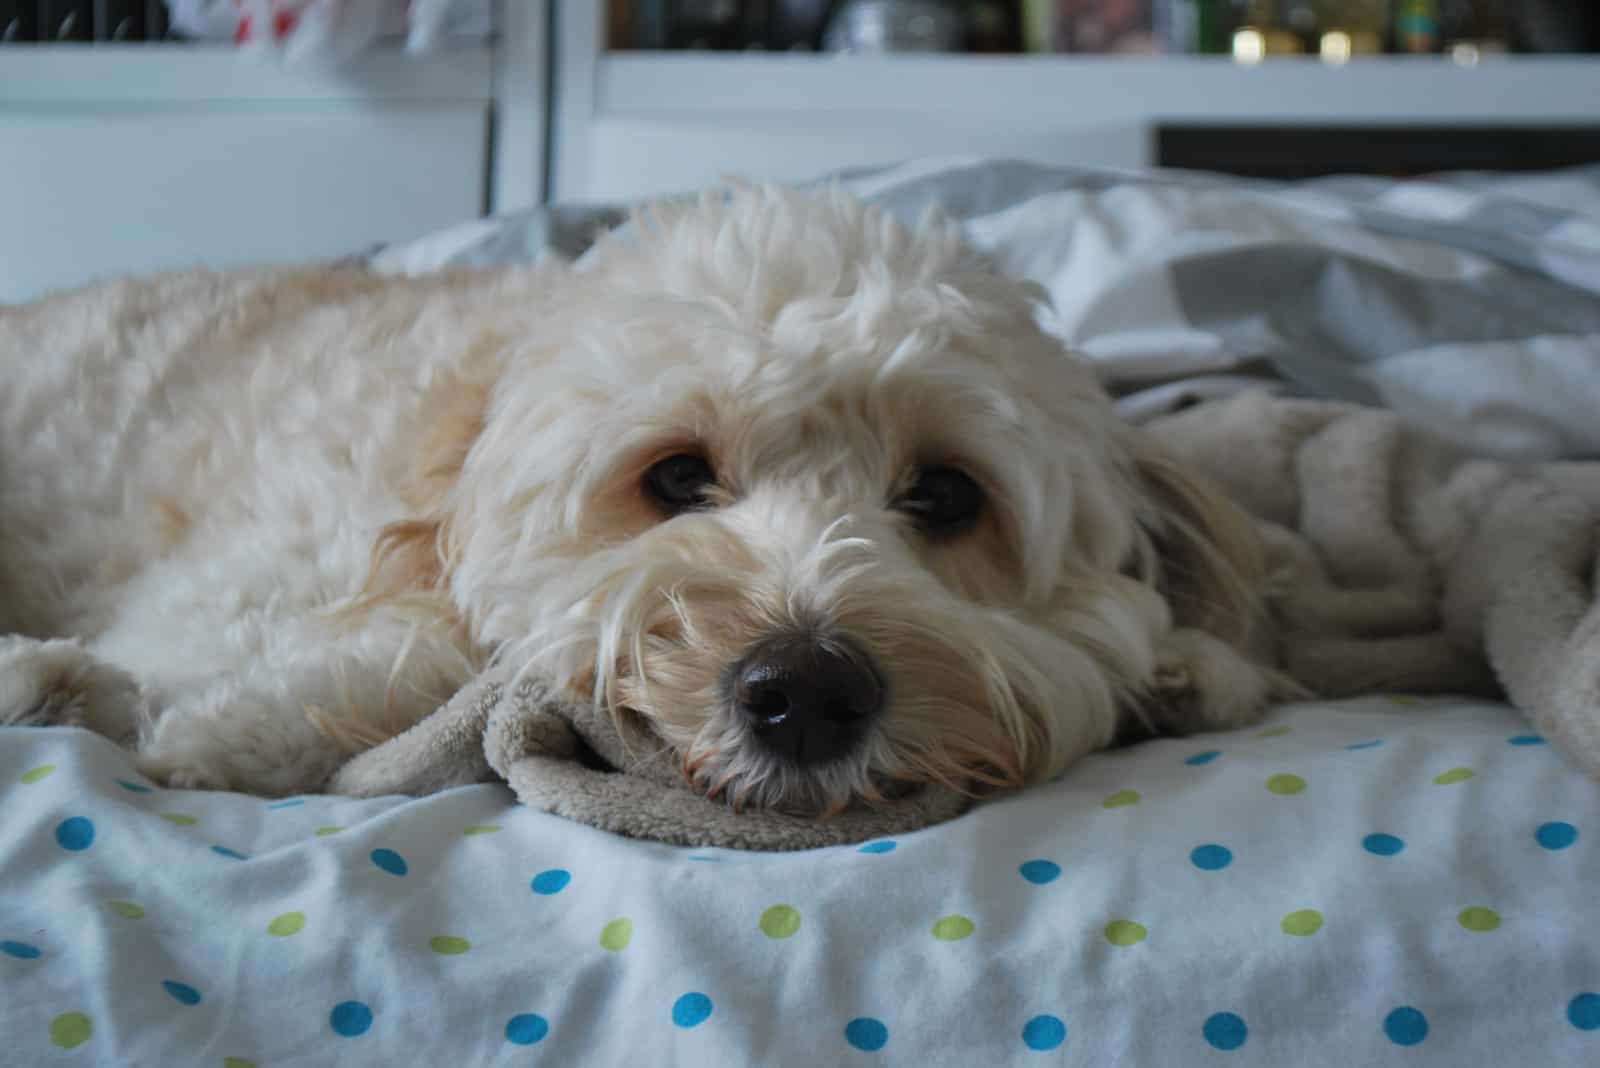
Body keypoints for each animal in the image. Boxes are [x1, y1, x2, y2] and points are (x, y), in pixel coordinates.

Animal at [0, 185, 1286, 818]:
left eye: (944, 494)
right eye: (674, 477)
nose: (806, 695)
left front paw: (1188, 670)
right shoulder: (253, 571)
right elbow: (408, 651)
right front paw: (194, 720)